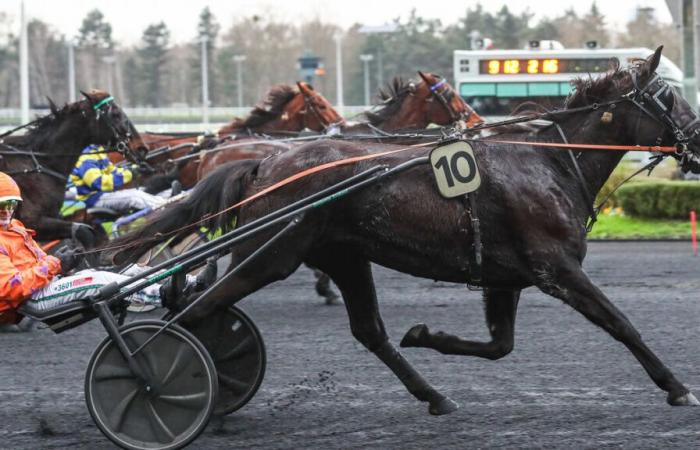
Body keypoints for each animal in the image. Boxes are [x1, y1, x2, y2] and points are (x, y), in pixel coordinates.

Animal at [112, 47, 700, 414]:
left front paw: (424, 335)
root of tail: (264, 164)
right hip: (271, 255)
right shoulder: (556, 267)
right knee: (194, 310)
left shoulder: (504, 276)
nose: (696, 142)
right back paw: (160, 380)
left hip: (343, 256)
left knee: (367, 331)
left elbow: (499, 346)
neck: (551, 163)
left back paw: (433, 396)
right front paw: (677, 387)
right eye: (669, 98)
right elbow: (622, 324)